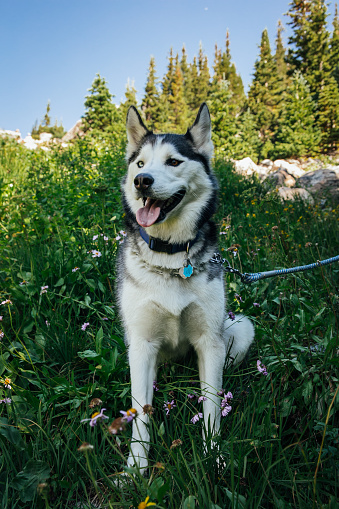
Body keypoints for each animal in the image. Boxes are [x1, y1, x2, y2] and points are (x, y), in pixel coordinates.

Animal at [118, 104, 254, 472]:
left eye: (173, 162)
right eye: (140, 164)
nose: (141, 182)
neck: (171, 256)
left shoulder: (209, 341)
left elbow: (211, 407)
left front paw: (214, 456)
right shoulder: (141, 345)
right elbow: (141, 416)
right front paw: (135, 468)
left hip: (239, 329)